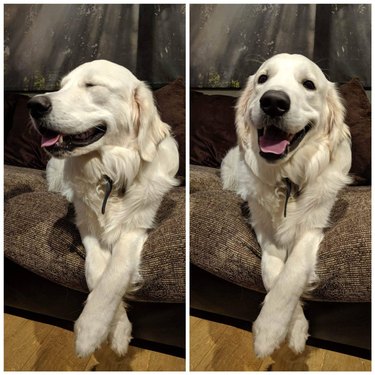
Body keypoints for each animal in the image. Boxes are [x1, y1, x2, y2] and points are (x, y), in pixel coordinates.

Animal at [27, 59, 180, 358]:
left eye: (91, 85)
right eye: (60, 86)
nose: (34, 104)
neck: (110, 172)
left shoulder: (136, 228)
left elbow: (115, 272)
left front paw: (92, 328)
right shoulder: (86, 225)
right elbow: (96, 271)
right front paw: (113, 327)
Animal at [222, 53, 352, 358]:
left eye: (309, 84)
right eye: (263, 78)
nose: (273, 102)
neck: (287, 179)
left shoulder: (312, 229)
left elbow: (292, 273)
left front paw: (273, 328)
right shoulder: (263, 227)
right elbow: (272, 271)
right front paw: (287, 326)